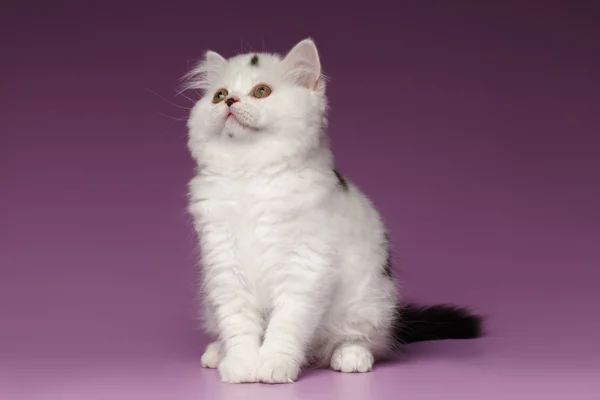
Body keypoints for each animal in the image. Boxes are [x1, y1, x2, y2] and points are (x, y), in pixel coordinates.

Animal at [185, 38, 480, 384]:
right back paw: (217, 352)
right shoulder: (224, 265)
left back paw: (350, 356)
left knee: (362, 340)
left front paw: (273, 364)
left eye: (261, 91)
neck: (250, 173)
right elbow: (239, 325)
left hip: (370, 301)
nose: (230, 101)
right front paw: (242, 364)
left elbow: (286, 324)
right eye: (219, 95)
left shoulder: (307, 265)